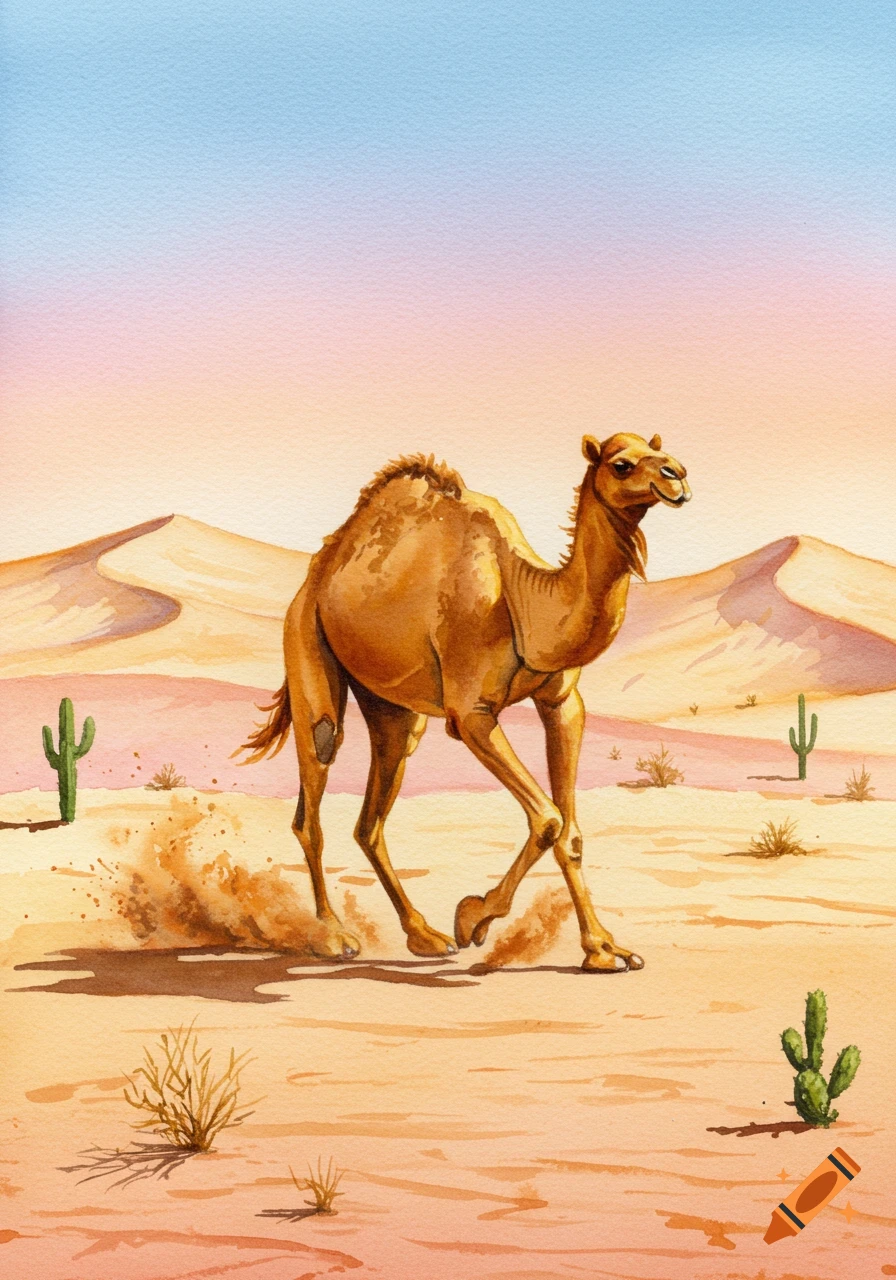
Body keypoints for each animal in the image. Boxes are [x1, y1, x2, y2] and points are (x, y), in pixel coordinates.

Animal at [239, 432, 691, 972]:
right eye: (622, 464)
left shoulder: (562, 703)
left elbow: (570, 832)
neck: (525, 599)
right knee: (314, 795)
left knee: (370, 819)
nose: (677, 475)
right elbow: (548, 820)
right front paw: (473, 917)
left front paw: (604, 949)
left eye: (659, 450)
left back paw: (423, 936)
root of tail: (313, 581)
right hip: (307, 646)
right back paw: (334, 936)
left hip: (394, 710)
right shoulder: (470, 714)